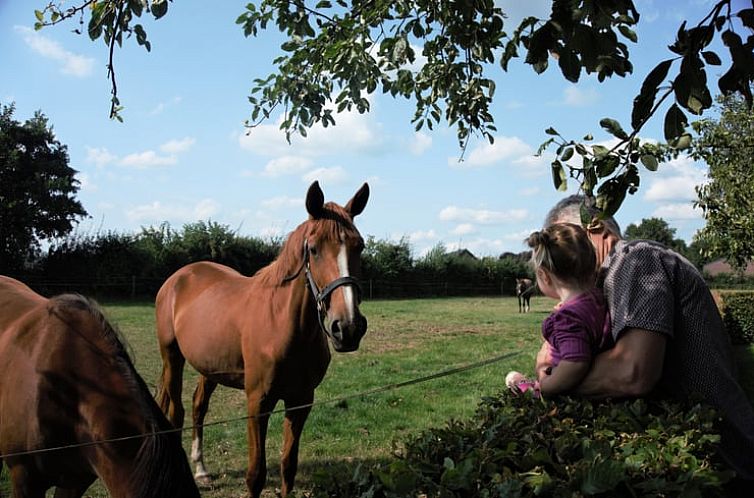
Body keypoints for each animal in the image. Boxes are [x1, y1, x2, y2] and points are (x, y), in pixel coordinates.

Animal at [154, 182, 368, 498]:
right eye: (313, 249)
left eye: (359, 246)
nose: (348, 327)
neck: (281, 324)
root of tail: (178, 278)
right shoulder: (258, 403)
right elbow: (256, 474)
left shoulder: (301, 401)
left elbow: (288, 466)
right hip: (172, 358)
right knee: (176, 412)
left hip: (209, 367)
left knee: (198, 406)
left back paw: (202, 469)